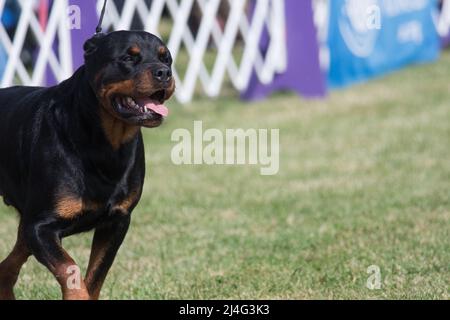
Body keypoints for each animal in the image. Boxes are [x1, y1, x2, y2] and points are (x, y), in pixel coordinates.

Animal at [0, 30, 174, 300]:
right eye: (128, 58)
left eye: (166, 59)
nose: (164, 73)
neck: (104, 142)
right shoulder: (39, 227)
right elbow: (69, 268)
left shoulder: (116, 222)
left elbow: (95, 276)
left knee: (8, 266)